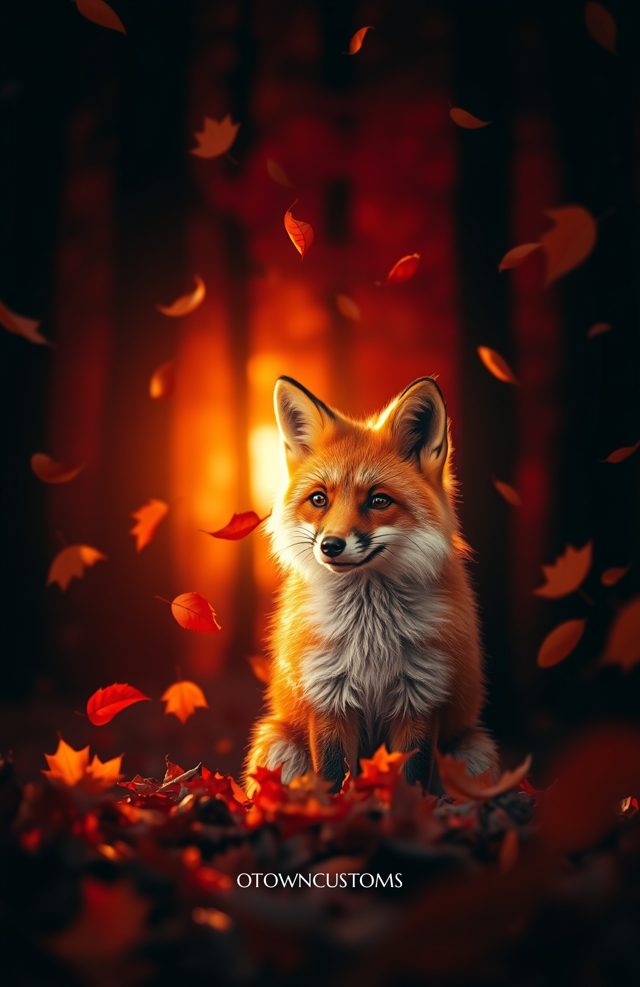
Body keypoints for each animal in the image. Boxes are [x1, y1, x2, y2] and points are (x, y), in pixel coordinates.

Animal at [244, 375, 498, 794]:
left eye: (379, 501)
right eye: (319, 499)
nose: (330, 545)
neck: (370, 636)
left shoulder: (420, 697)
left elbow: (411, 776)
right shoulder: (327, 696)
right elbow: (331, 776)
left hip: (472, 750)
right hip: (278, 743)